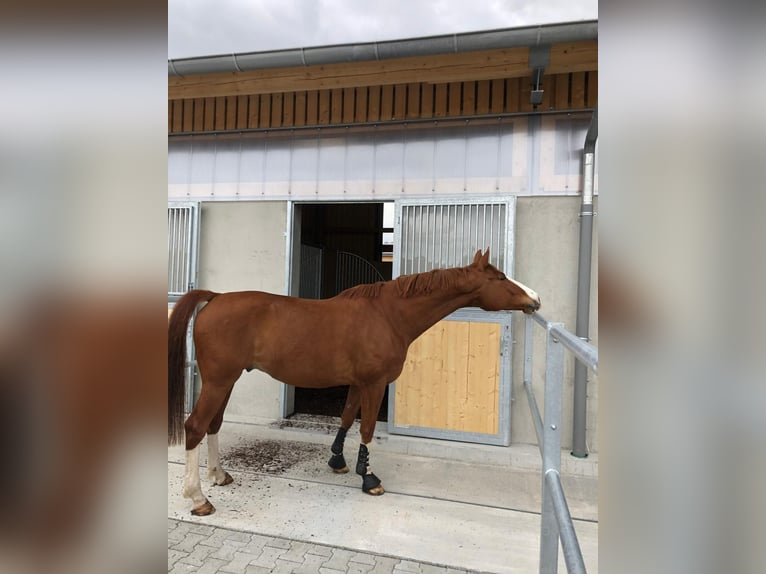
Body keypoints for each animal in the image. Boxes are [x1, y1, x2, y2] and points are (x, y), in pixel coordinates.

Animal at [168, 251, 540, 516]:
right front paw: (369, 478)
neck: (388, 314)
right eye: (501, 277)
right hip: (218, 381)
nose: (535, 299)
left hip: (226, 382)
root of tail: (216, 297)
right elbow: (368, 428)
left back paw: (219, 476)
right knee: (195, 426)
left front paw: (339, 462)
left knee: (213, 424)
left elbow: (347, 418)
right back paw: (198, 498)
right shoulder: (375, 384)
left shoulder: (357, 384)